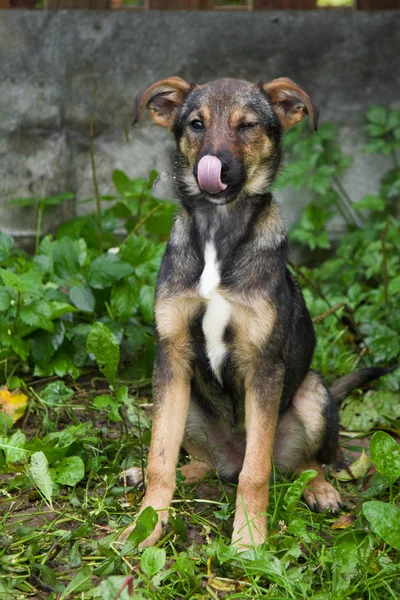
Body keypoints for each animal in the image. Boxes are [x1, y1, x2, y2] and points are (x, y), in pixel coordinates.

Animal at [121, 77, 388, 552]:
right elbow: (160, 458)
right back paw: (166, 474)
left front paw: (248, 541)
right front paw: (147, 523)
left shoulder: (264, 367)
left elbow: (257, 471)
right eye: (196, 124)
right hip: (187, 403)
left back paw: (320, 489)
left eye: (247, 126)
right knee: (201, 461)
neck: (219, 231)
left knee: (300, 464)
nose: (215, 167)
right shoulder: (171, 357)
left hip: (311, 394)